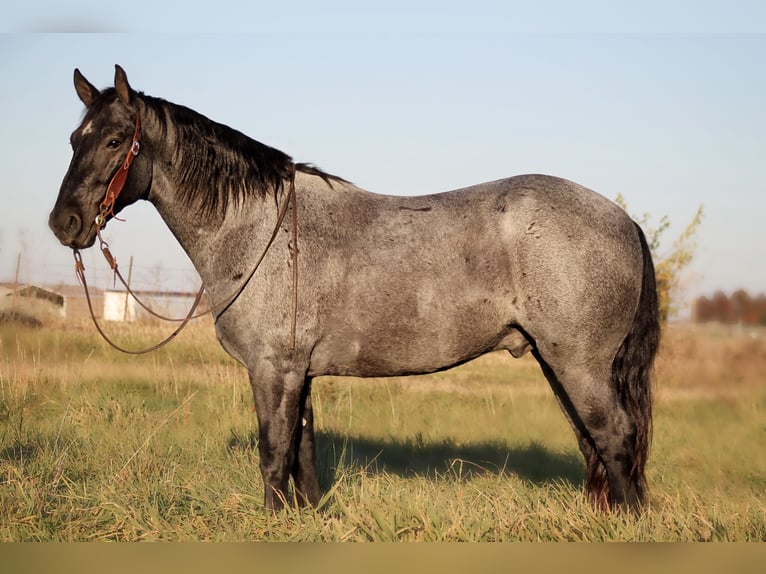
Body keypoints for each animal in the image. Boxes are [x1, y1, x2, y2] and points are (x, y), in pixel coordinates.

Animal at [48, 66, 664, 512]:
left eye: (115, 139)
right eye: (74, 138)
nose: (65, 223)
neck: (261, 229)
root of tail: (623, 220)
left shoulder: (272, 370)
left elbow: (273, 455)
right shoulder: (298, 372)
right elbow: (303, 455)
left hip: (578, 363)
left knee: (615, 438)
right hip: (558, 362)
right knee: (595, 443)